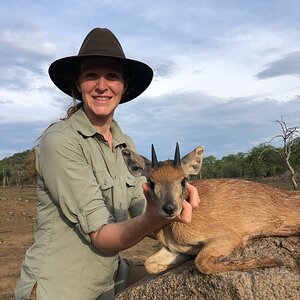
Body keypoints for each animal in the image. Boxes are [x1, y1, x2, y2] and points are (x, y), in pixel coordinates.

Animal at [122, 145, 300, 274]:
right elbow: (149, 264)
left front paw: (275, 259)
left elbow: (202, 263)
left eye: (184, 180)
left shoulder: (229, 237)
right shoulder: (175, 250)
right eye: (151, 182)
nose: (169, 208)